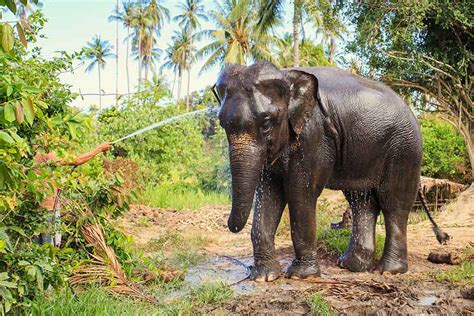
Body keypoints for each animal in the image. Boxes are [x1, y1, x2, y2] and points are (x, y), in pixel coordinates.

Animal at [212, 61, 448, 282]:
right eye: (222, 124)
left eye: (267, 124)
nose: (227, 225)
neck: (286, 75)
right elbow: (269, 195)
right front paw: (264, 277)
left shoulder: (313, 134)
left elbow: (300, 193)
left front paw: (300, 276)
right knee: (363, 201)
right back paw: (351, 265)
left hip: (404, 150)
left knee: (394, 204)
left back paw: (388, 271)